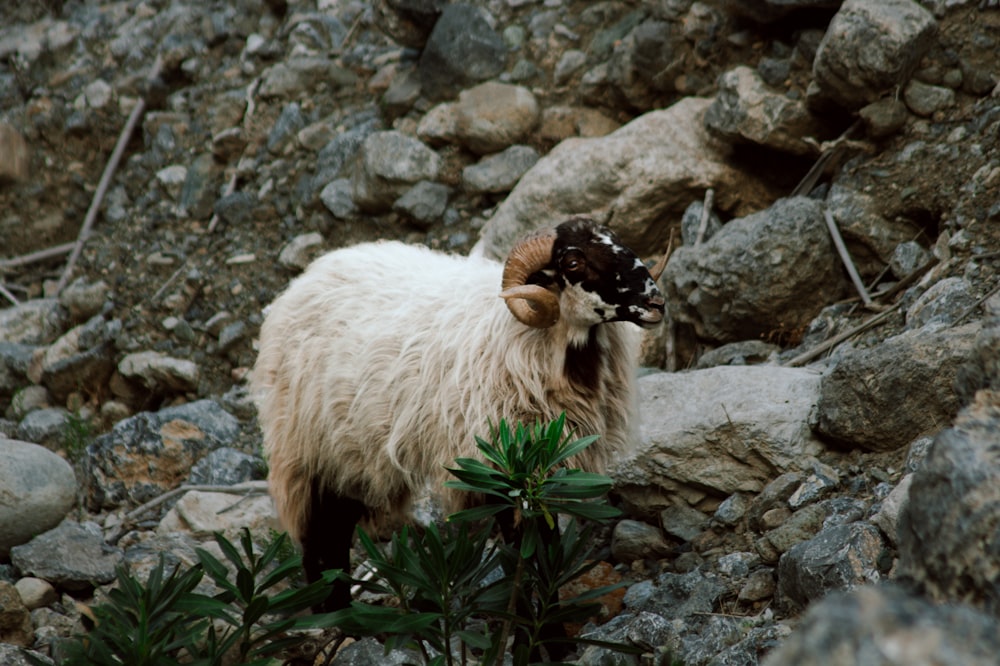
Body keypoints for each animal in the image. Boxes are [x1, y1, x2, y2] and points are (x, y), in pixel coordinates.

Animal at [254, 215, 668, 608]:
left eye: (617, 241)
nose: (656, 302)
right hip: (311, 446)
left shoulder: (543, 472)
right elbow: (526, 557)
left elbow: (546, 552)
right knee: (321, 541)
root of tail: (310, 275)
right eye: (573, 261)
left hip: (351, 455)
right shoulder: (500, 469)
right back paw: (337, 616)